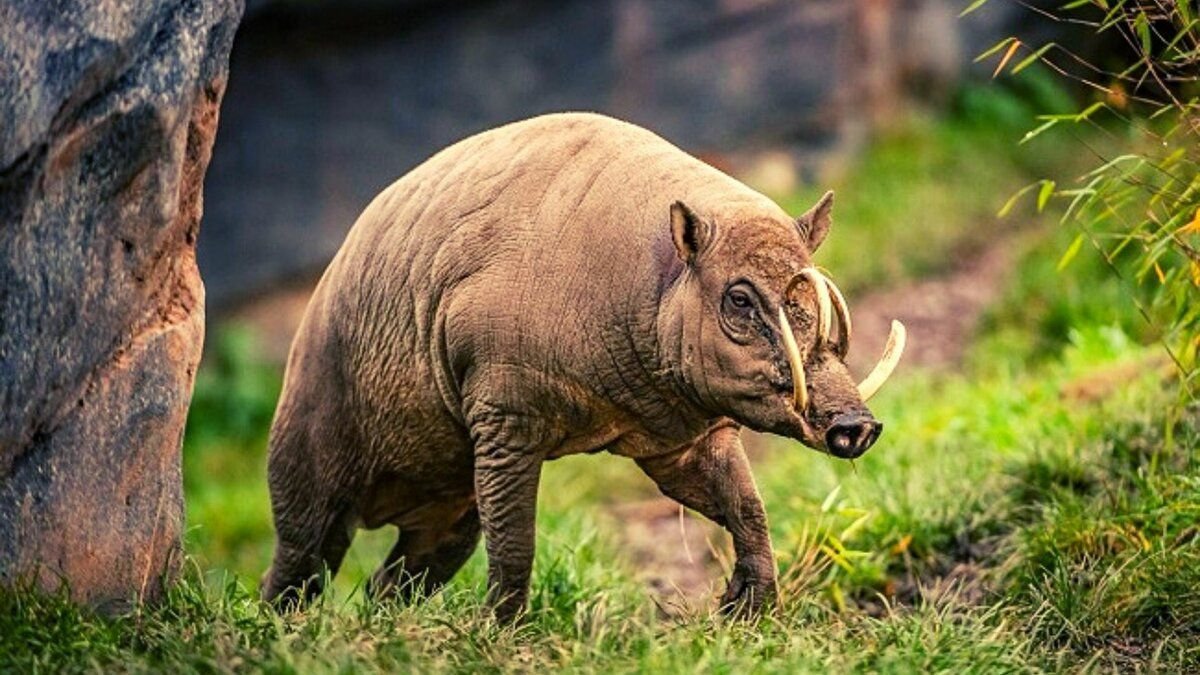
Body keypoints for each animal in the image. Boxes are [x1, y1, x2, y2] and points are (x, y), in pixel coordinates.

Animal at [260, 111, 902, 619]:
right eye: (740, 300)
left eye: (819, 296)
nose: (857, 426)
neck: (647, 285)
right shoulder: (505, 419)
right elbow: (515, 540)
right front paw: (500, 631)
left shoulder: (683, 436)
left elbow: (745, 504)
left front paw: (748, 606)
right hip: (308, 463)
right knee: (297, 562)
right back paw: (279, 630)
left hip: (445, 505)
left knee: (391, 582)